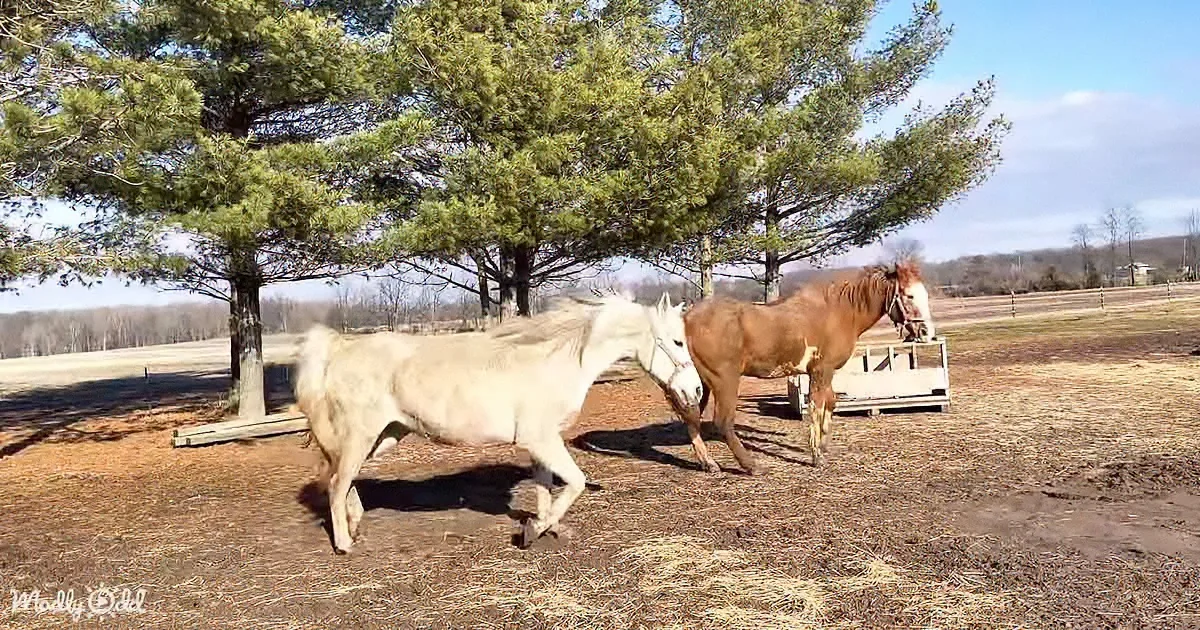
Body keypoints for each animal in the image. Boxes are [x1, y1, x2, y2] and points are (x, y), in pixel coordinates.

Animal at [293, 291, 705, 553]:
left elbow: (545, 487)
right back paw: (344, 544)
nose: (696, 390)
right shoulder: (541, 439)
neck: (557, 360)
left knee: (341, 477)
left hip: (386, 435)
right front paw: (533, 531)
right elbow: (574, 482)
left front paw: (547, 529)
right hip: (362, 435)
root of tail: (340, 349)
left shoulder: (542, 444)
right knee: (337, 483)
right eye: (676, 342)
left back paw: (355, 523)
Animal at [681, 261, 935, 474]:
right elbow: (816, 407)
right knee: (722, 422)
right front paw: (816, 456)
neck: (839, 312)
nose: (927, 333)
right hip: (725, 381)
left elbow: (831, 402)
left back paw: (708, 463)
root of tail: (688, 319)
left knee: (691, 417)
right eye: (909, 295)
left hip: (702, 383)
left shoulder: (826, 372)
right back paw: (751, 466)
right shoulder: (821, 370)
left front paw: (824, 445)